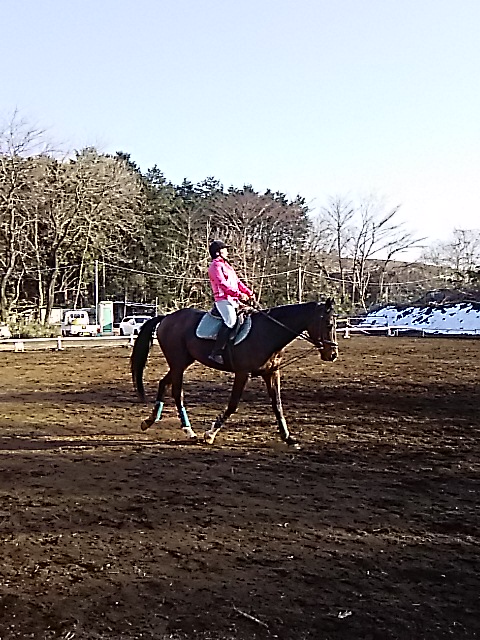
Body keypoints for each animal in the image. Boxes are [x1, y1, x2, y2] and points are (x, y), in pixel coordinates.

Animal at [130, 299, 338, 447]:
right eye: (328, 325)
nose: (333, 354)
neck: (268, 332)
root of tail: (167, 317)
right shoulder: (242, 373)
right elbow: (232, 405)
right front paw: (210, 434)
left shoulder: (271, 373)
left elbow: (277, 405)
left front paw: (288, 438)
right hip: (178, 363)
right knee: (177, 393)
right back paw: (189, 431)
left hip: (181, 363)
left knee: (164, 383)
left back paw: (149, 421)